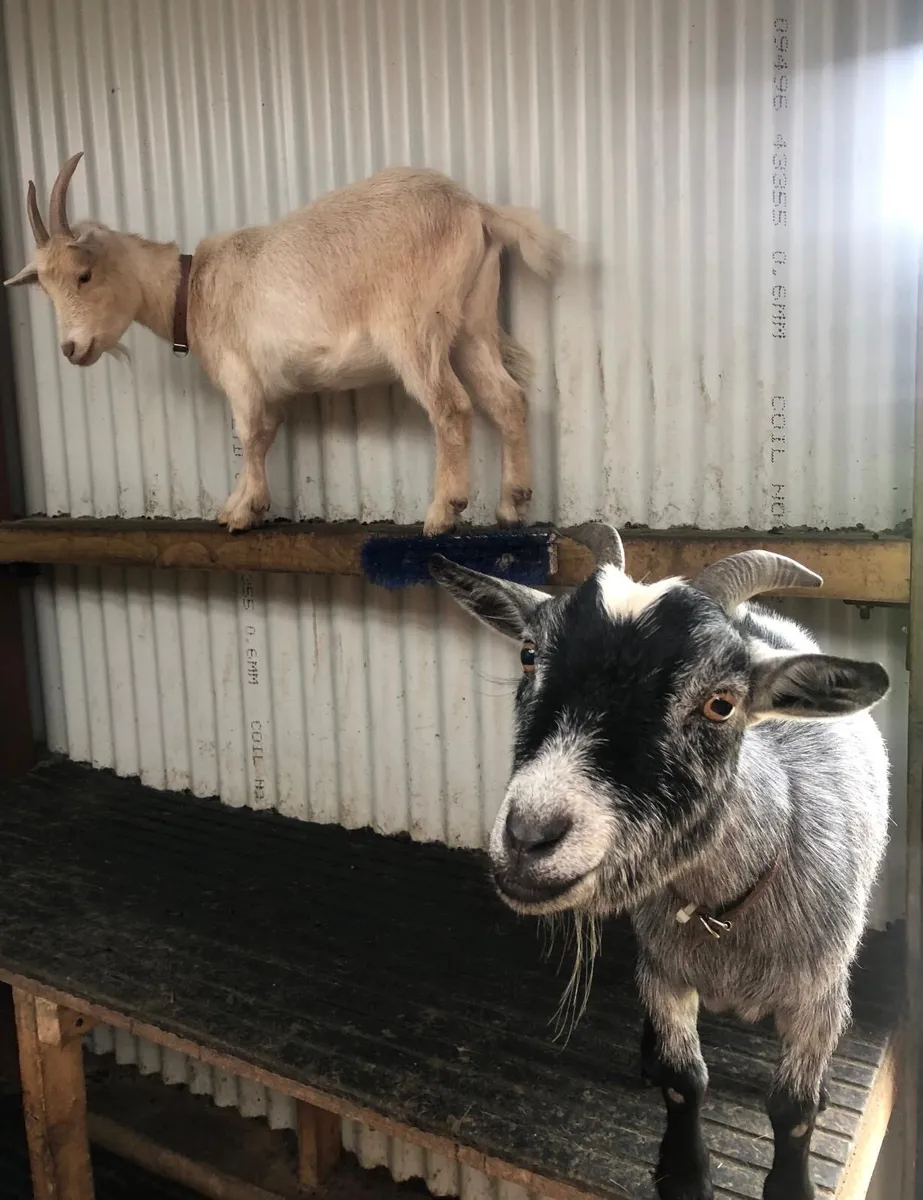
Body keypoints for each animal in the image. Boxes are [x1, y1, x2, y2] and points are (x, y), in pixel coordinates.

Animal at [5, 153, 567, 534]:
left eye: (83, 274)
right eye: (45, 288)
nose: (71, 349)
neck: (193, 290)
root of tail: (475, 208)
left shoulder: (241, 374)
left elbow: (249, 435)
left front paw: (243, 512)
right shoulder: (271, 385)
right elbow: (267, 432)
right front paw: (239, 504)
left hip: (415, 329)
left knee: (452, 406)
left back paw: (443, 512)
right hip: (472, 324)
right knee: (507, 398)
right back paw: (513, 503)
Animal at [431, 525, 890, 1200]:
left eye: (721, 704)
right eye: (529, 656)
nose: (530, 835)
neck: (725, 906)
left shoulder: (818, 994)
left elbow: (794, 1110)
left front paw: (791, 1181)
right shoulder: (668, 974)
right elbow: (684, 1081)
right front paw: (682, 1172)